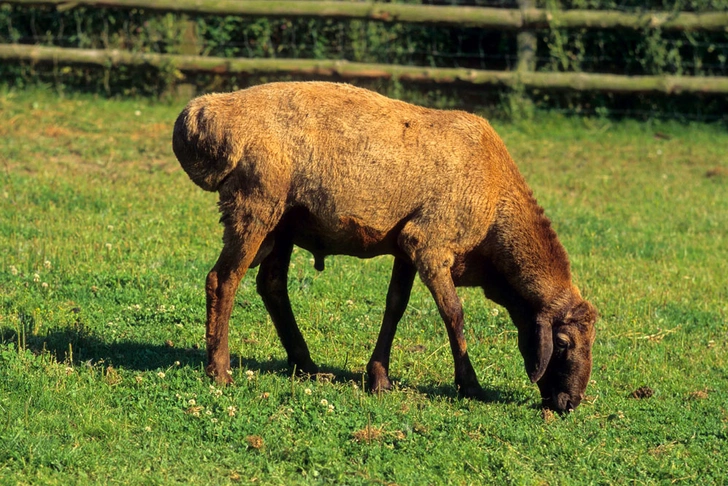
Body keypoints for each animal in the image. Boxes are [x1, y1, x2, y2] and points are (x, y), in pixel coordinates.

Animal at [172, 81, 596, 412]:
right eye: (563, 342)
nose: (570, 403)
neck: (496, 207)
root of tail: (204, 112)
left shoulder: (406, 246)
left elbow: (395, 306)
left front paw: (378, 377)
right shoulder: (430, 242)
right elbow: (454, 314)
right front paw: (470, 385)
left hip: (283, 221)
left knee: (272, 286)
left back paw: (307, 366)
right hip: (255, 205)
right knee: (222, 280)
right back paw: (220, 371)